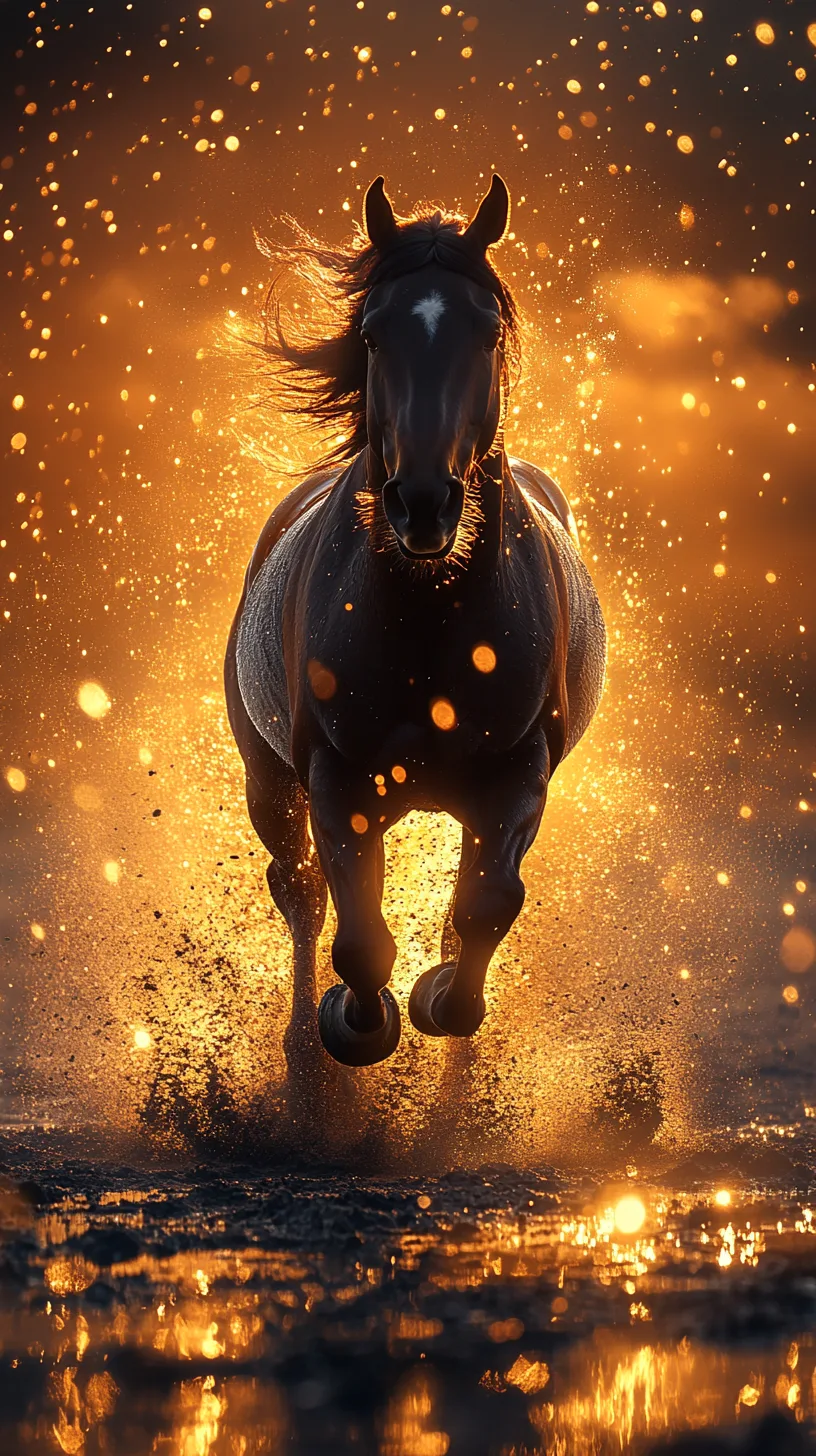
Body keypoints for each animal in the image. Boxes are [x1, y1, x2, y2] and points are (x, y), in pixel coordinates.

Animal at [225, 174, 606, 1070]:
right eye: (373, 332)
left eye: (488, 330)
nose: (423, 504)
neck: (431, 622)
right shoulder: (336, 778)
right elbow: (359, 939)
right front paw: (355, 1024)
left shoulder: (519, 773)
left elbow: (487, 904)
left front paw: (442, 999)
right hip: (268, 780)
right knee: (299, 892)